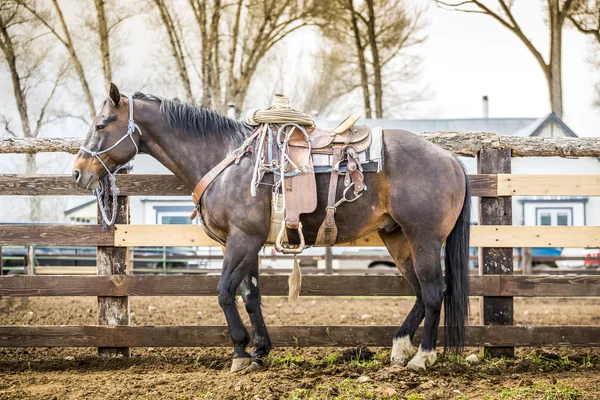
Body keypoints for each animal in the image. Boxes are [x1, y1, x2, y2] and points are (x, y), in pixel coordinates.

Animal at [72, 83, 472, 374]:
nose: (78, 172)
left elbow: (223, 292)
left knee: (433, 291)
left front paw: (239, 353)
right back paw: (400, 348)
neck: (226, 160)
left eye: (100, 125)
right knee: (420, 292)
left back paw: (422, 357)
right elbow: (250, 295)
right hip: (397, 238)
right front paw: (260, 351)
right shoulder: (243, 244)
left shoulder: (242, 240)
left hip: (423, 239)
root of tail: (450, 158)